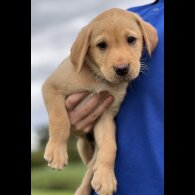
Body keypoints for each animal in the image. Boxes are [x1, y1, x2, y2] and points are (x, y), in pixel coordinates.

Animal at [42, 8, 158, 195]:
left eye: (131, 40)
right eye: (101, 45)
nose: (122, 69)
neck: (99, 78)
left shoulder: (105, 116)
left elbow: (110, 146)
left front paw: (105, 178)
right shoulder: (51, 87)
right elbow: (60, 121)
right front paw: (57, 152)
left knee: (91, 168)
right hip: (82, 145)